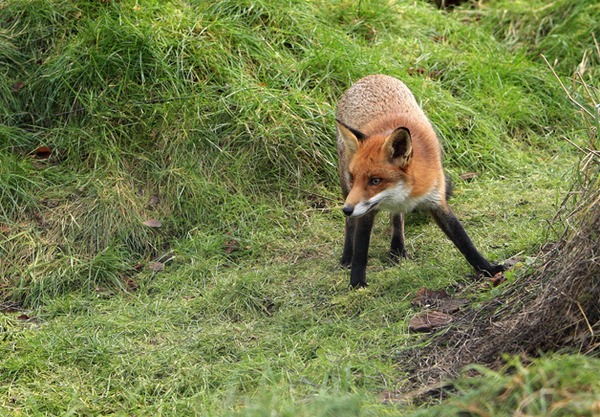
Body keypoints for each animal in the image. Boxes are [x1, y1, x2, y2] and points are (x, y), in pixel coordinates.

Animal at [336, 74, 504, 286]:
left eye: (375, 181)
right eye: (354, 177)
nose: (347, 209)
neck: (404, 193)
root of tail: (373, 76)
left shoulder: (436, 199)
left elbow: (463, 239)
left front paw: (488, 268)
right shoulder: (366, 210)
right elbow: (361, 249)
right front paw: (357, 283)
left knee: (397, 218)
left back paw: (398, 248)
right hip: (345, 187)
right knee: (351, 225)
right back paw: (346, 256)